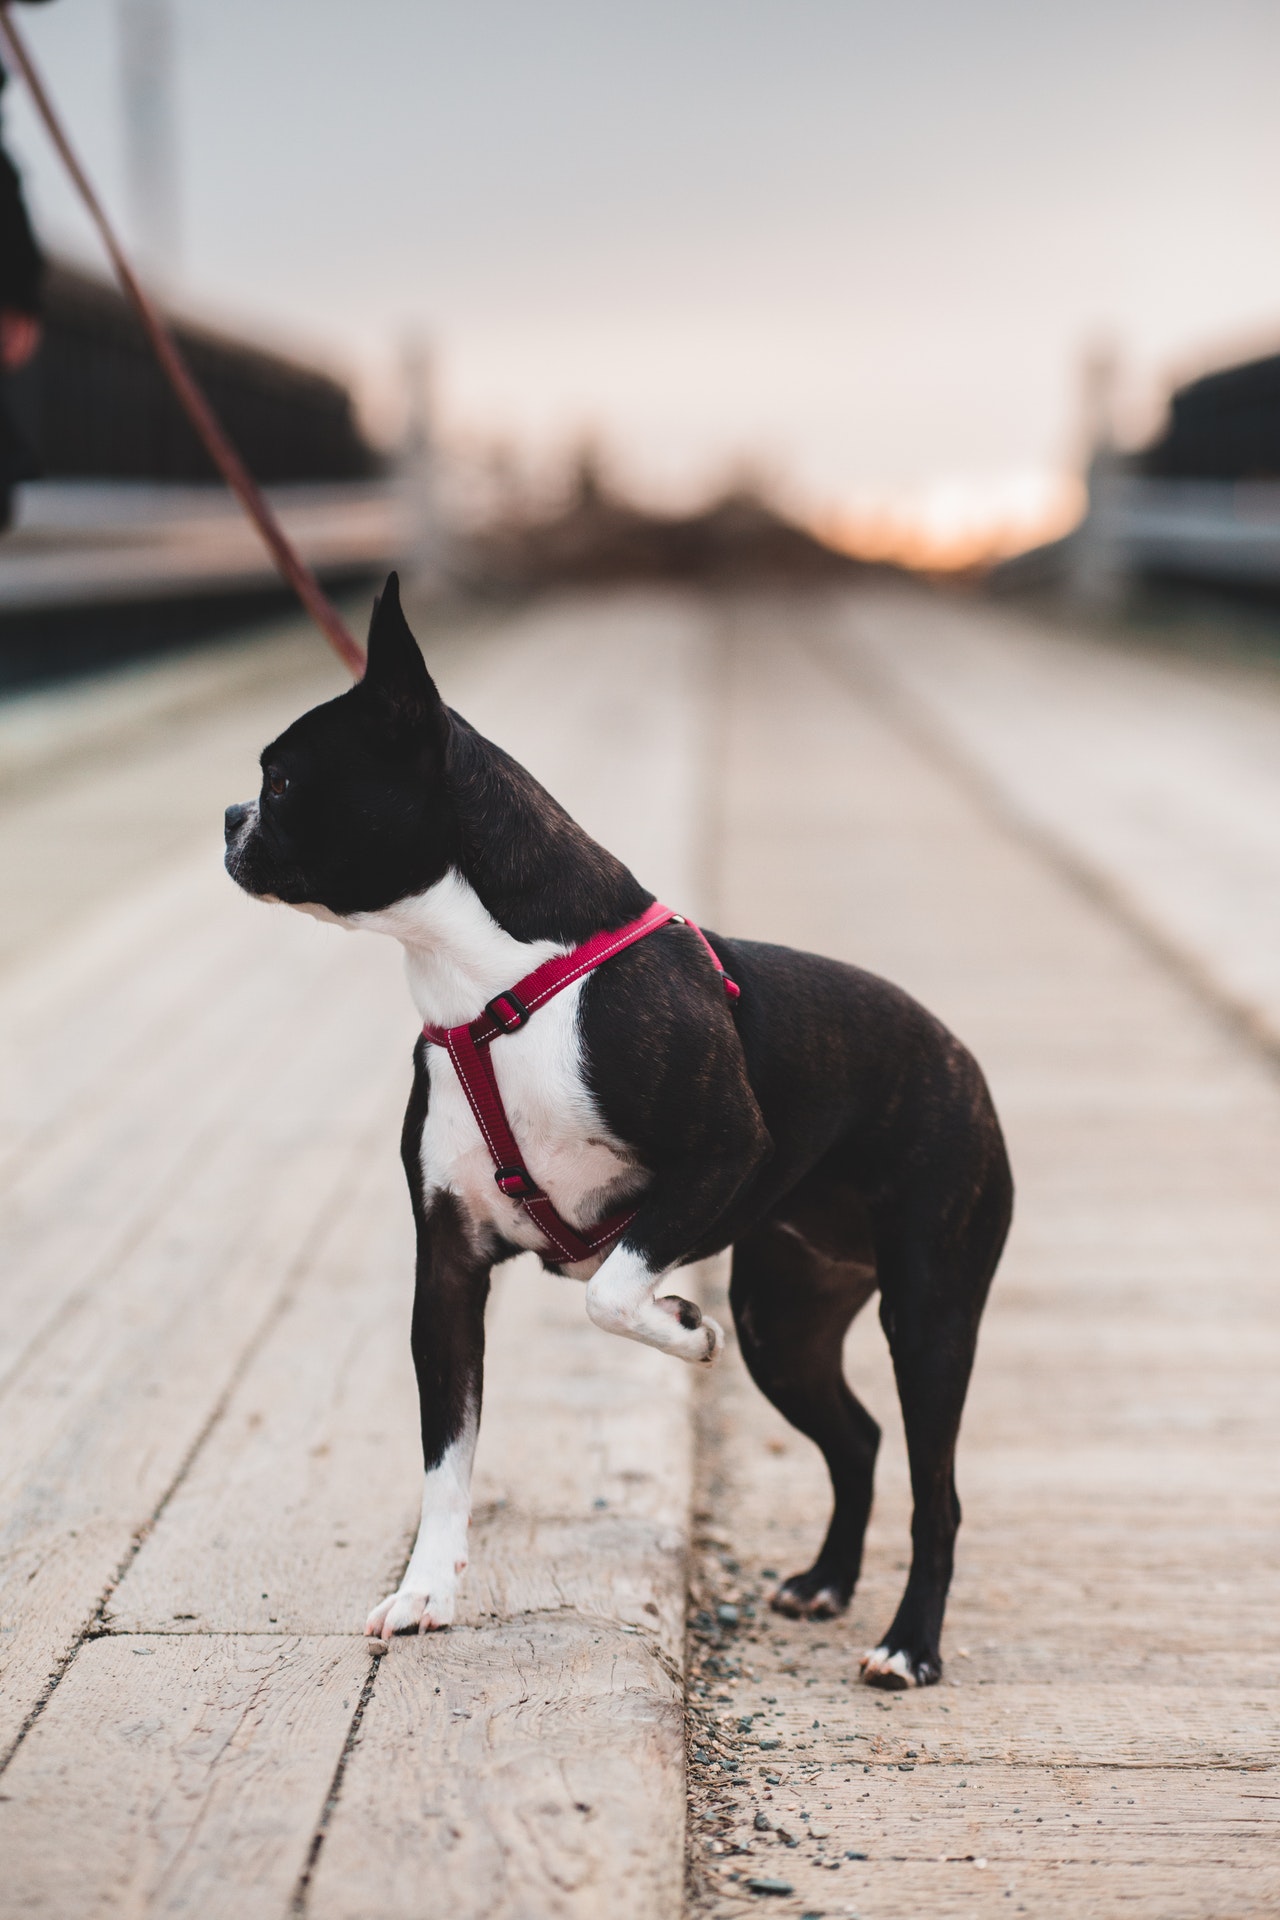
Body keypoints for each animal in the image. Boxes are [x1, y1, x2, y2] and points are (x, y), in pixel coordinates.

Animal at [227, 576, 1013, 1689]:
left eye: (285, 780)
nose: (229, 815)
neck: (494, 983)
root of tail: (962, 1058)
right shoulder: (448, 1270)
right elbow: (446, 1458)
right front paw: (425, 1594)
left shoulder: (724, 1155)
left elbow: (608, 1290)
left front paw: (679, 1327)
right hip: (787, 1319)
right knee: (857, 1439)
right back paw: (824, 1580)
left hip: (931, 1309)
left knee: (933, 1486)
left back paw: (908, 1646)